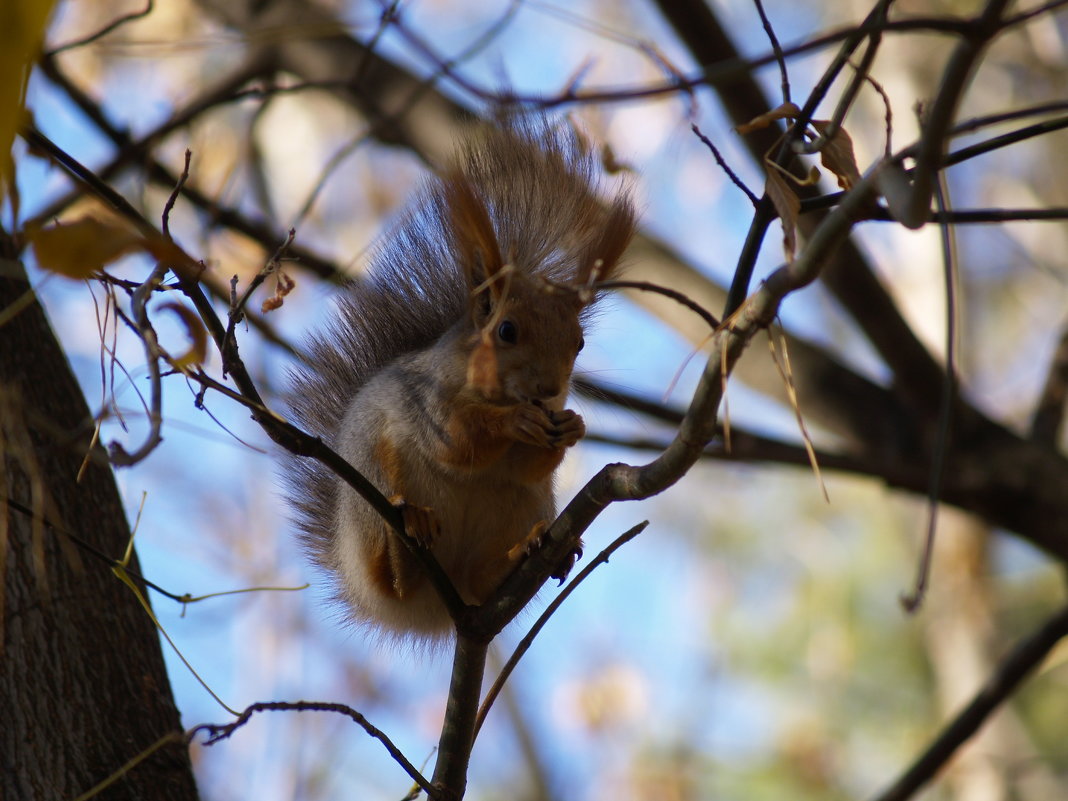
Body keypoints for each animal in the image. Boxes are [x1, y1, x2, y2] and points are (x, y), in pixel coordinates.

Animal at [284, 122, 632, 645]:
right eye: (506, 331)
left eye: (579, 342)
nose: (550, 390)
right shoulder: (425, 400)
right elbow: (457, 441)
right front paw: (515, 420)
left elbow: (527, 465)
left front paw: (572, 426)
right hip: (372, 488)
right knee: (392, 577)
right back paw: (407, 538)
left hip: (523, 505)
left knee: (483, 577)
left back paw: (527, 549)